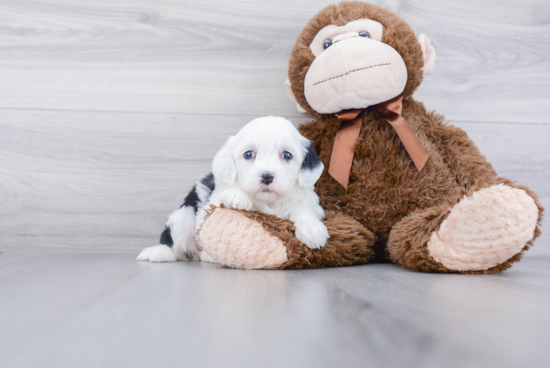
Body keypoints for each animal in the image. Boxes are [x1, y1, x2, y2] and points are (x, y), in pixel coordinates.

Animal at [138, 116, 330, 264]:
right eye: (248, 154)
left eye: (287, 155)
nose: (267, 176)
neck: (269, 201)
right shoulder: (210, 204)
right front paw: (238, 195)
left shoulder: (310, 203)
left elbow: (302, 210)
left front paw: (313, 230)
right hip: (183, 216)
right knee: (176, 244)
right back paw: (162, 252)